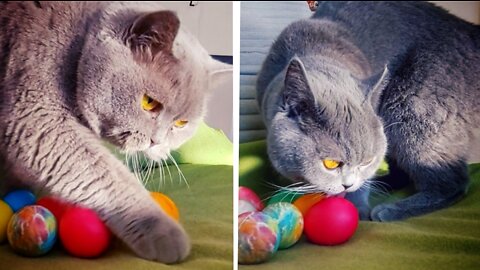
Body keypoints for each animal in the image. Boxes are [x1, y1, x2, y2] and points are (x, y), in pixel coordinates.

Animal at [0, 1, 232, 264]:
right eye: (148, 102)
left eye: (181, 123)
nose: (156, 142)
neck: (74, 46)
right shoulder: (37, 114)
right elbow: (106, 174)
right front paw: (164, 233)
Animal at [256, 1, 478, 221]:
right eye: (330, 164)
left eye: (367, 161)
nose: (348, 185)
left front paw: (359, 208)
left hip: (412, 109)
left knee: (452, 182)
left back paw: (389, 209)